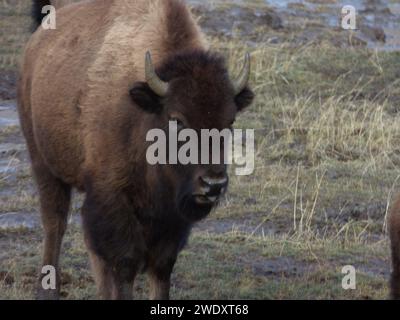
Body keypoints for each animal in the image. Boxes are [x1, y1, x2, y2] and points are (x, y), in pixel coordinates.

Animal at [18, 0, 253, 300]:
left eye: (230, 121)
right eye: (177, 119)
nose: (213, 184)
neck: (145, 113)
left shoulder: (171, 216)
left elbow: (161, 266)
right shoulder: (113, 197)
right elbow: (125, 263)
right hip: (44, 164)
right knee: (55, 224)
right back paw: (47, 290)